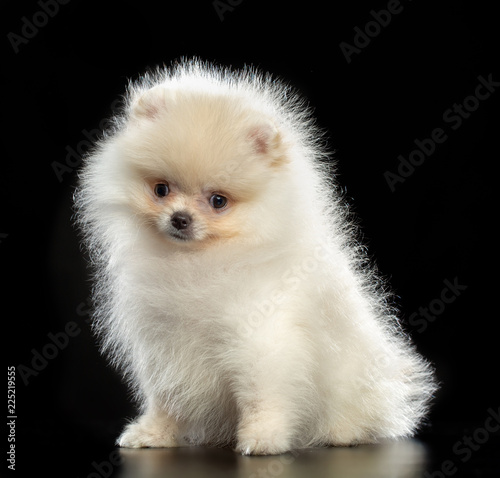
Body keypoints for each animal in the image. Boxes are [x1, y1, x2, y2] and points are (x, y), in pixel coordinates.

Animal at [73, 59, 434, 456]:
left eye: (218, 200)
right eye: (161, 189)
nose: (180, 218)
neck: (200, 261)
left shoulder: (261, 337)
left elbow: (264, 394)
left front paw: (264, 438)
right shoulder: (164, 344)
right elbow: (167, 398)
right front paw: (154, 433)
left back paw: (344, 433)